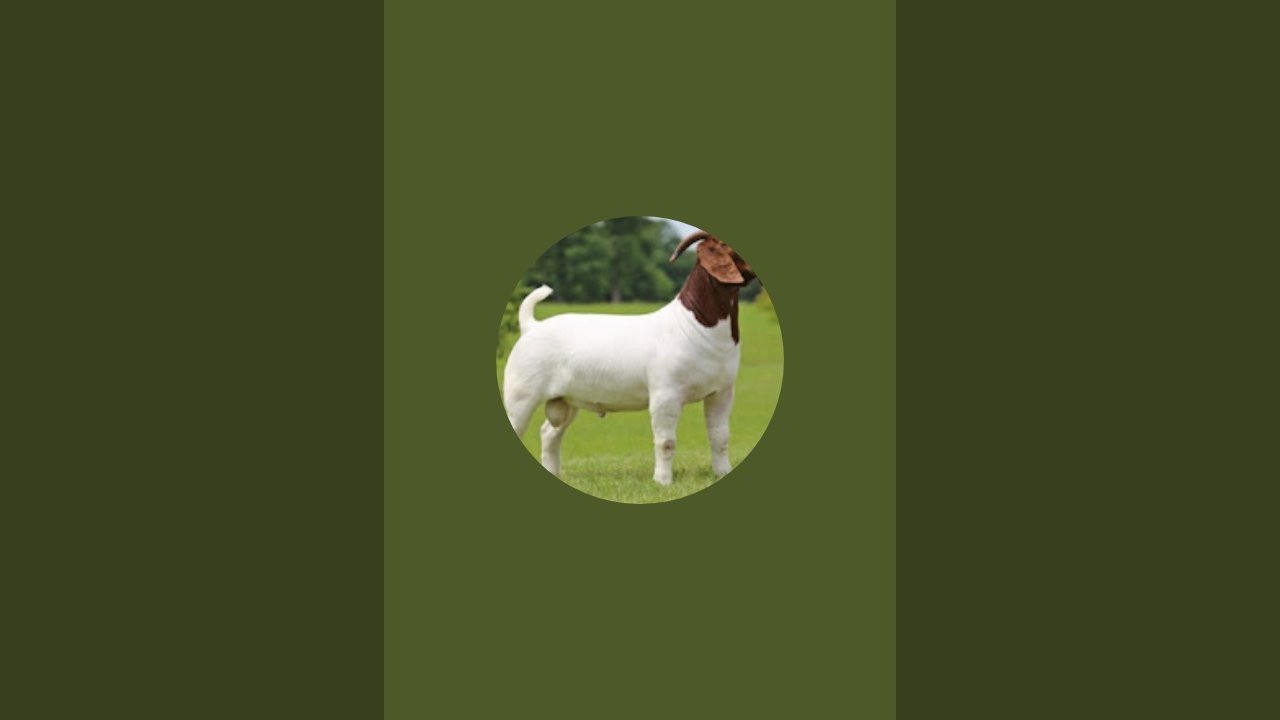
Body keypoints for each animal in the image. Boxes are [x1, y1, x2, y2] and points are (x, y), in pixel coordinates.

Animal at [502, 231, 758, 485]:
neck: (693, 326)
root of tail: (532, 326)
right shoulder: (665, 396)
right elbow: (666, 442)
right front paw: (662, 482)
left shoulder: (721, 393)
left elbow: (720, 438)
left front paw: (722, 473)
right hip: (521, 394)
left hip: (567, 400)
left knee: (549, 434)